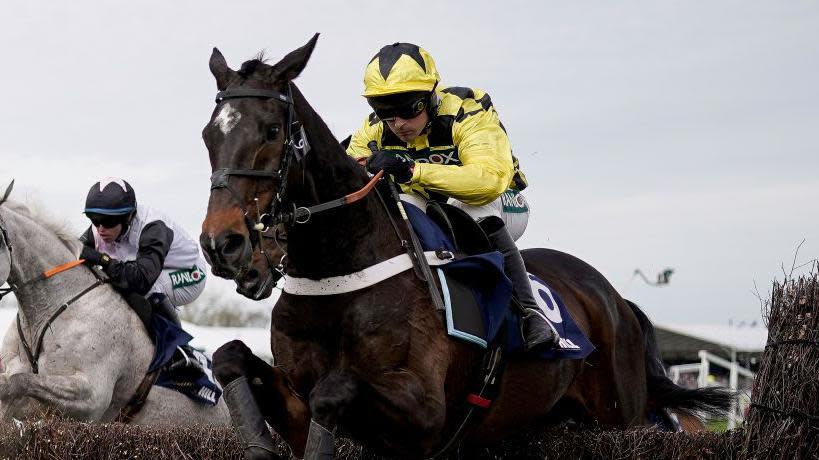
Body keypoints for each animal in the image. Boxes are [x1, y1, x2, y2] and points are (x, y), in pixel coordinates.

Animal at [200, 34, 732, 458]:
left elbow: (334, 389)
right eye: (208, 134)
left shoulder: (426, 413)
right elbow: (229, 356)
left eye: (272, 131)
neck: (341, 270)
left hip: (621, 415)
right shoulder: (297, 400)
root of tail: (619, 301)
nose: (222, 244)